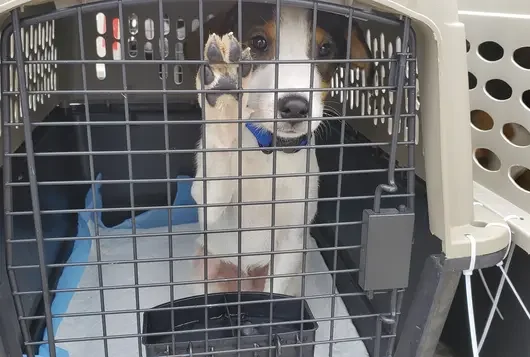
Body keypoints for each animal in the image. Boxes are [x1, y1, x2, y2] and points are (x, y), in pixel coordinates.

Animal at [186, 2, 372, 294]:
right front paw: (223, 92)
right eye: (259, 42)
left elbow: (275, 293)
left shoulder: (292, 241)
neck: (268, 150)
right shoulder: (208, 205)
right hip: (204, 271)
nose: (295, 107)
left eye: (325, 48)